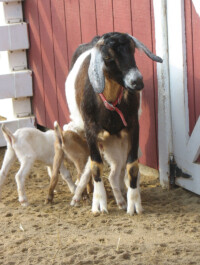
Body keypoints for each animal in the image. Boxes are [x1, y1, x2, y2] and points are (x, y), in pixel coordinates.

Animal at [65, 32, 162, 214]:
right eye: (108, 57)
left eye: (132, 49)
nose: (137, 82)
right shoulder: (90, 130)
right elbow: (96, 165)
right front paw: (99, 203)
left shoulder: (133, 126)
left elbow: (132, 166)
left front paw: (134, 203)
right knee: (90, 165)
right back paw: (80, 195)